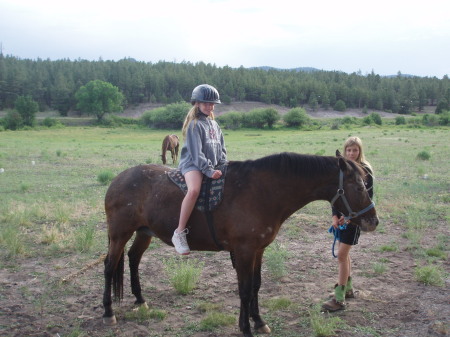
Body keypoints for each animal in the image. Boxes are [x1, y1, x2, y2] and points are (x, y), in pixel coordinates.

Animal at [102, 152, 376, 336]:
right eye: (360, 185)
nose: (373, 220)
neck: (263, 191)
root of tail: (118, 180)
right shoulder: (244, 252)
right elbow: (244, 289)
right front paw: (245, 328)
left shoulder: (258, 250)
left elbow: (255, 286)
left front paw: (259, 321)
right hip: (119, 234)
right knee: (109, 266)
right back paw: (108, 312)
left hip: (143, 233)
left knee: (133, 258)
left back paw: (140, 299)